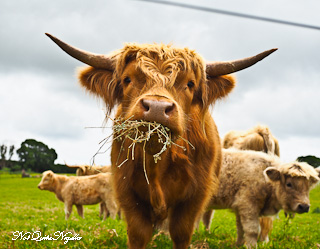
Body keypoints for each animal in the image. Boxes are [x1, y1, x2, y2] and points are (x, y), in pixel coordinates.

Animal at [45, 33, 278, 249]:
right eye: (127, 79)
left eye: (190, 83)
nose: (157, 108)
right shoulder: (127, 192)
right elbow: (138, 234)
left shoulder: (195, 196)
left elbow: (182, 232)